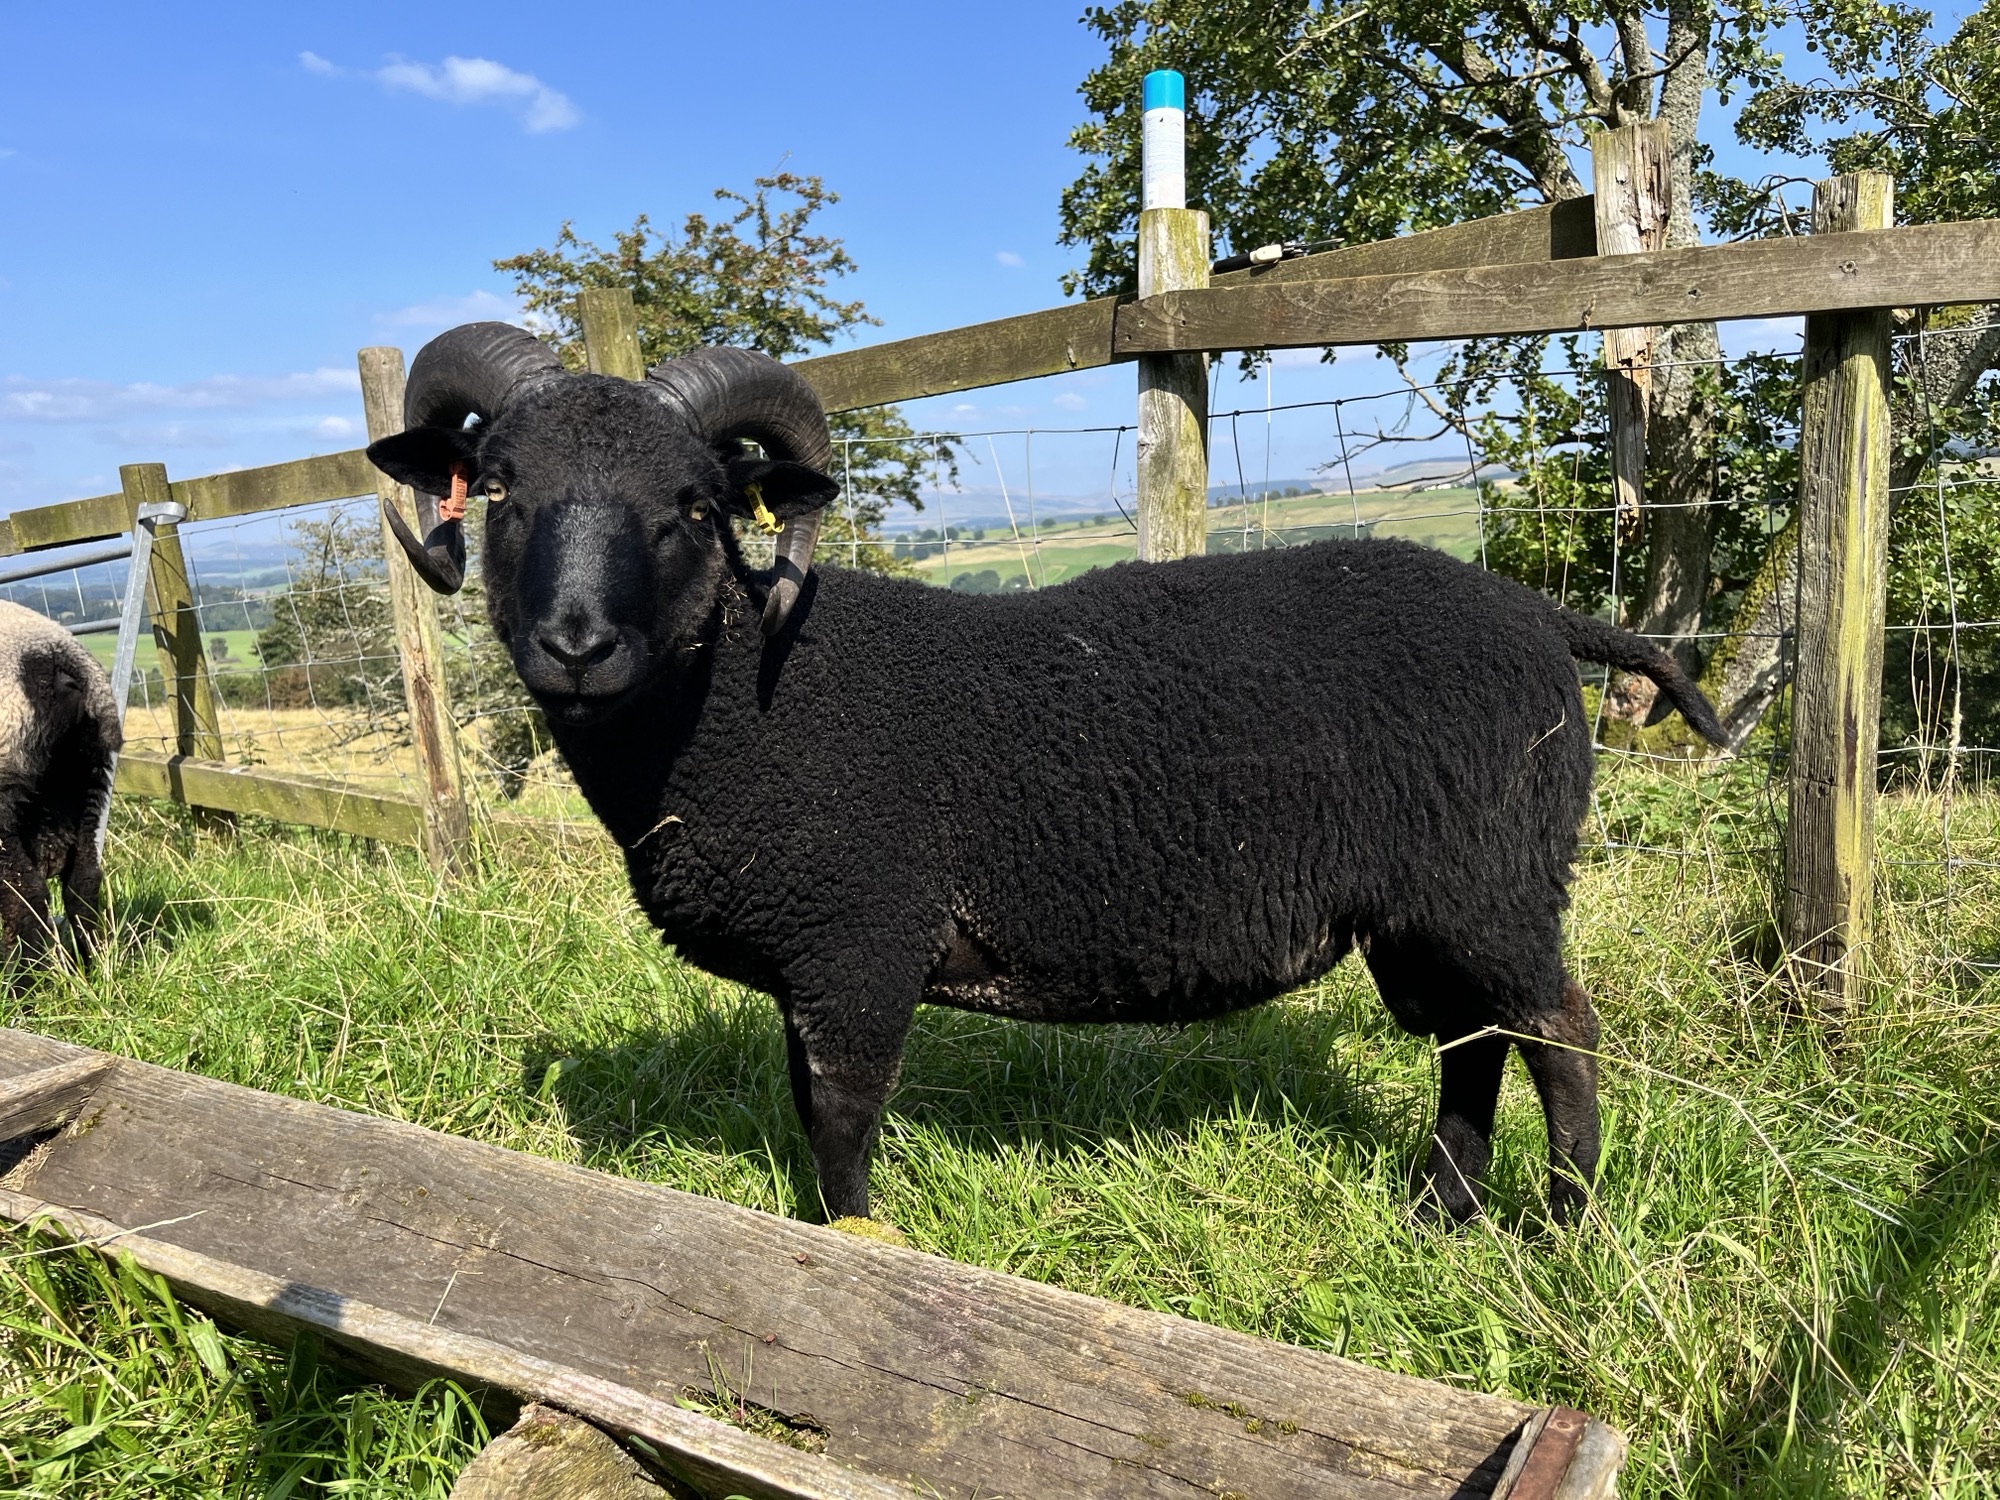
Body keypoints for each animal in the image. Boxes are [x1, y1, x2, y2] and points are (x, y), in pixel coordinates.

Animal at [382, 324, 1728, 1224]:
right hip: (1420, 906)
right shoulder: (808, 960)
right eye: (497, 488)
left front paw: (853, 1250)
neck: (731, 701)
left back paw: (1558, 1224)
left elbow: (842, 1128)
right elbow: (807, 1114)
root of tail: (1537, 616)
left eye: (693, 504)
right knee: (1471, 1036)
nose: (574, 644)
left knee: (1555, 1028)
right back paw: (1438, 1212)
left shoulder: (858, 944)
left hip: (1491, 876)